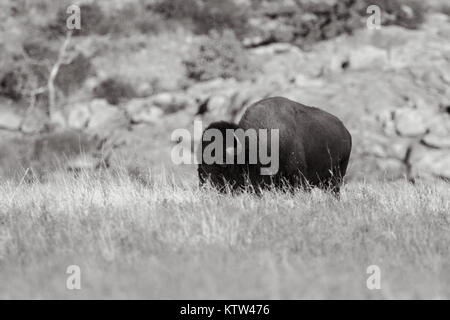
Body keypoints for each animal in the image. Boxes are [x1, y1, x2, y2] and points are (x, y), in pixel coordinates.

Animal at [199, 96, 354, 194]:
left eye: (223, 165)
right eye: (201, 166)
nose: (205, 187)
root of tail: (345, 132)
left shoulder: (297, 178)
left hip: (336, 178)